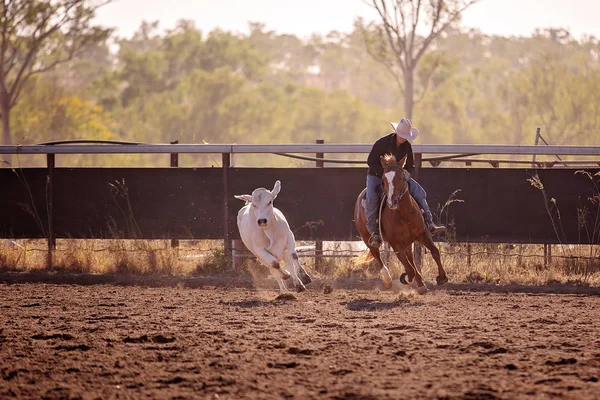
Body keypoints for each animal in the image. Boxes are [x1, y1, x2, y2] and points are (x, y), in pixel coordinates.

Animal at [354, 153, 448, 294]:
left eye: (400, 177)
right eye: (383, 179)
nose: (392, 202)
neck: (404, 214)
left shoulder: (423, 233)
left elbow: (435, 252)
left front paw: (442, 278)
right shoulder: (395, 244)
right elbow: (409, 269)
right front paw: (405, 278)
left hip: (408, 241)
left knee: (411, 259)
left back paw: (421, 285)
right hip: (366, 238)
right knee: (378, 256)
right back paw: (388, 280)